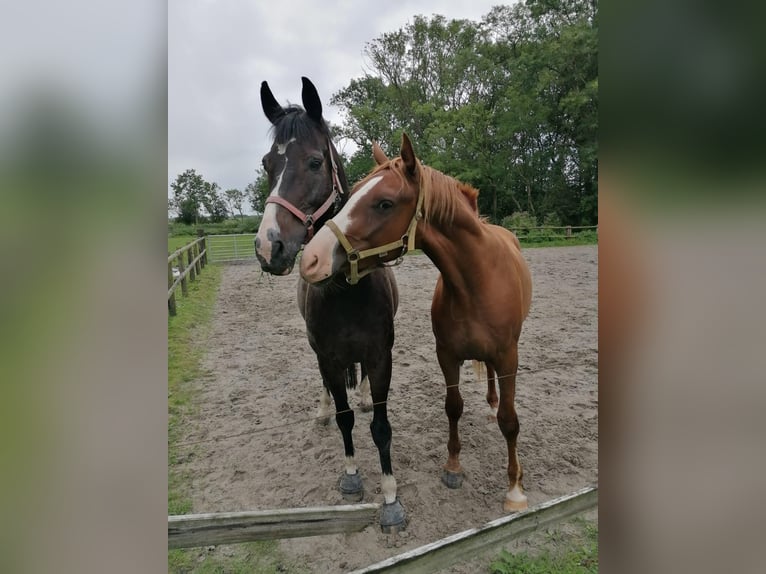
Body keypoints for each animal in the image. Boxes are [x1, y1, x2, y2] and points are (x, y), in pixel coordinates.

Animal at [254, 79, 408, 532]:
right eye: (268, 163)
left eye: (315, 162)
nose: (268, 246)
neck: (346, 290)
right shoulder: (328, 356)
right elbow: (345, 419)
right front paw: (353, 476)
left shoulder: (380, 355)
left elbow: (380, 425)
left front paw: (390, 497)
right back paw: (322, 409)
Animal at [302, 134, 536, 512]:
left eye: (384, 203)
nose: (311, 259)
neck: (475, 282)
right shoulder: (447, 356)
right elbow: (453, 407)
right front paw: (453, 468)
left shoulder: (508, 358)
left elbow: (510, 421)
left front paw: (514, 489)